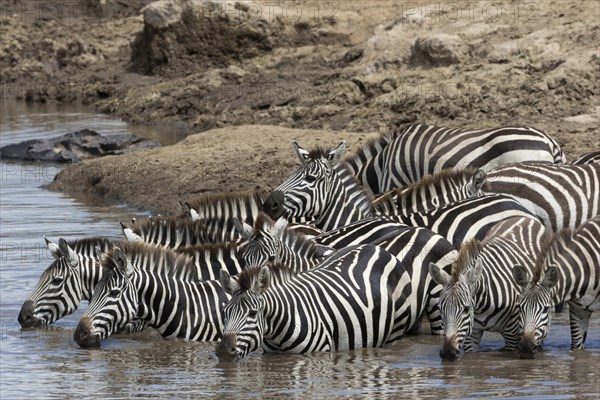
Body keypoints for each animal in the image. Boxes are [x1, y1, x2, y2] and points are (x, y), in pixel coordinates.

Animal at [216, 244, 412, 360]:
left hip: (397, 327)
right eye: (225, 313)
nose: (224, 351)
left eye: (252, 313)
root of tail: (376, 247)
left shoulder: (319, 354)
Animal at [424, 216, 548, 360]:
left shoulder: (512, 332)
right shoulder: (472, 332)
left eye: (466, 309)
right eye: (440, 308)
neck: (482, 305)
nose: (448, 353)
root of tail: (524, 218)